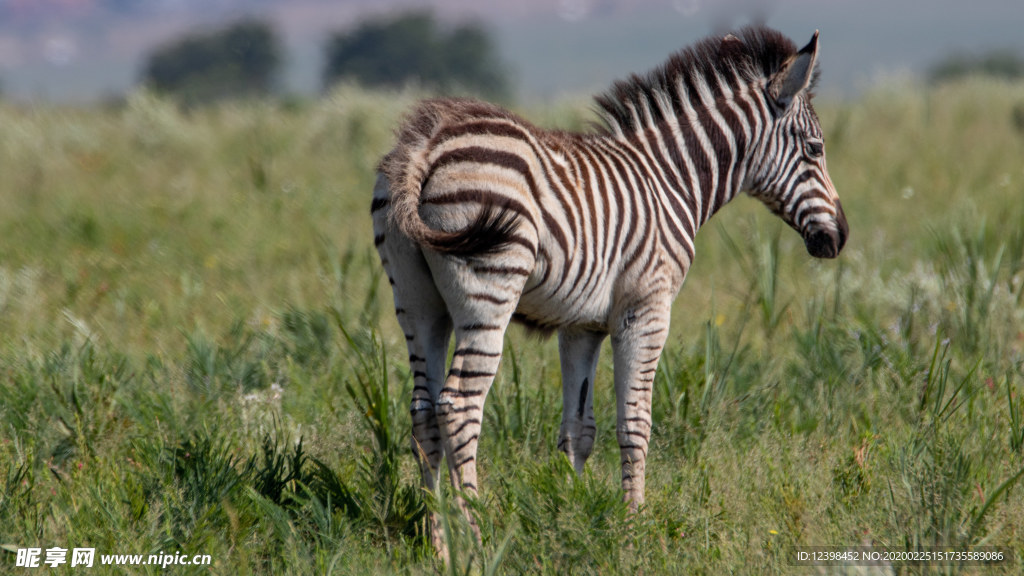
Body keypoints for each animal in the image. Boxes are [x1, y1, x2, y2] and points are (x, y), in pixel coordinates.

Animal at [368, 26, 847, 553]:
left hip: (417, 303)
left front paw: (572, 517)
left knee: (423, 411)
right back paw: (476, 537)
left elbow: (579, 429)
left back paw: (438, 544)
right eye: (816, 149)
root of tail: (425, 144)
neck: (670, 180)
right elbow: (635, 423)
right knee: (458, 406)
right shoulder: (645, 309)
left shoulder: (581, 325)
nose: (840, 238)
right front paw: (634, 526)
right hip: (487, 291)